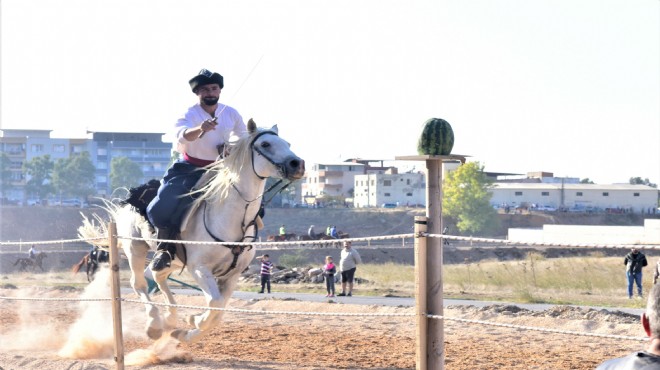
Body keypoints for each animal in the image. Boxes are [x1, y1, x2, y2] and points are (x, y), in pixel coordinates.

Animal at [79, 120, 304, 344]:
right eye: (265, 144)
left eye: (287, 143)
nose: (297, 164)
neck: (231, 218)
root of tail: (129, 201)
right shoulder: (199, 268)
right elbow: (214, 303)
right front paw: (193, 320)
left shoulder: (232, 275)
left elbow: (218, 311)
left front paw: (185, 331)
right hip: (135, 248)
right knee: (140, 284)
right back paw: (154, 324)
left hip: (174, 260)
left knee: (157, 275)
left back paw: (170, 318)